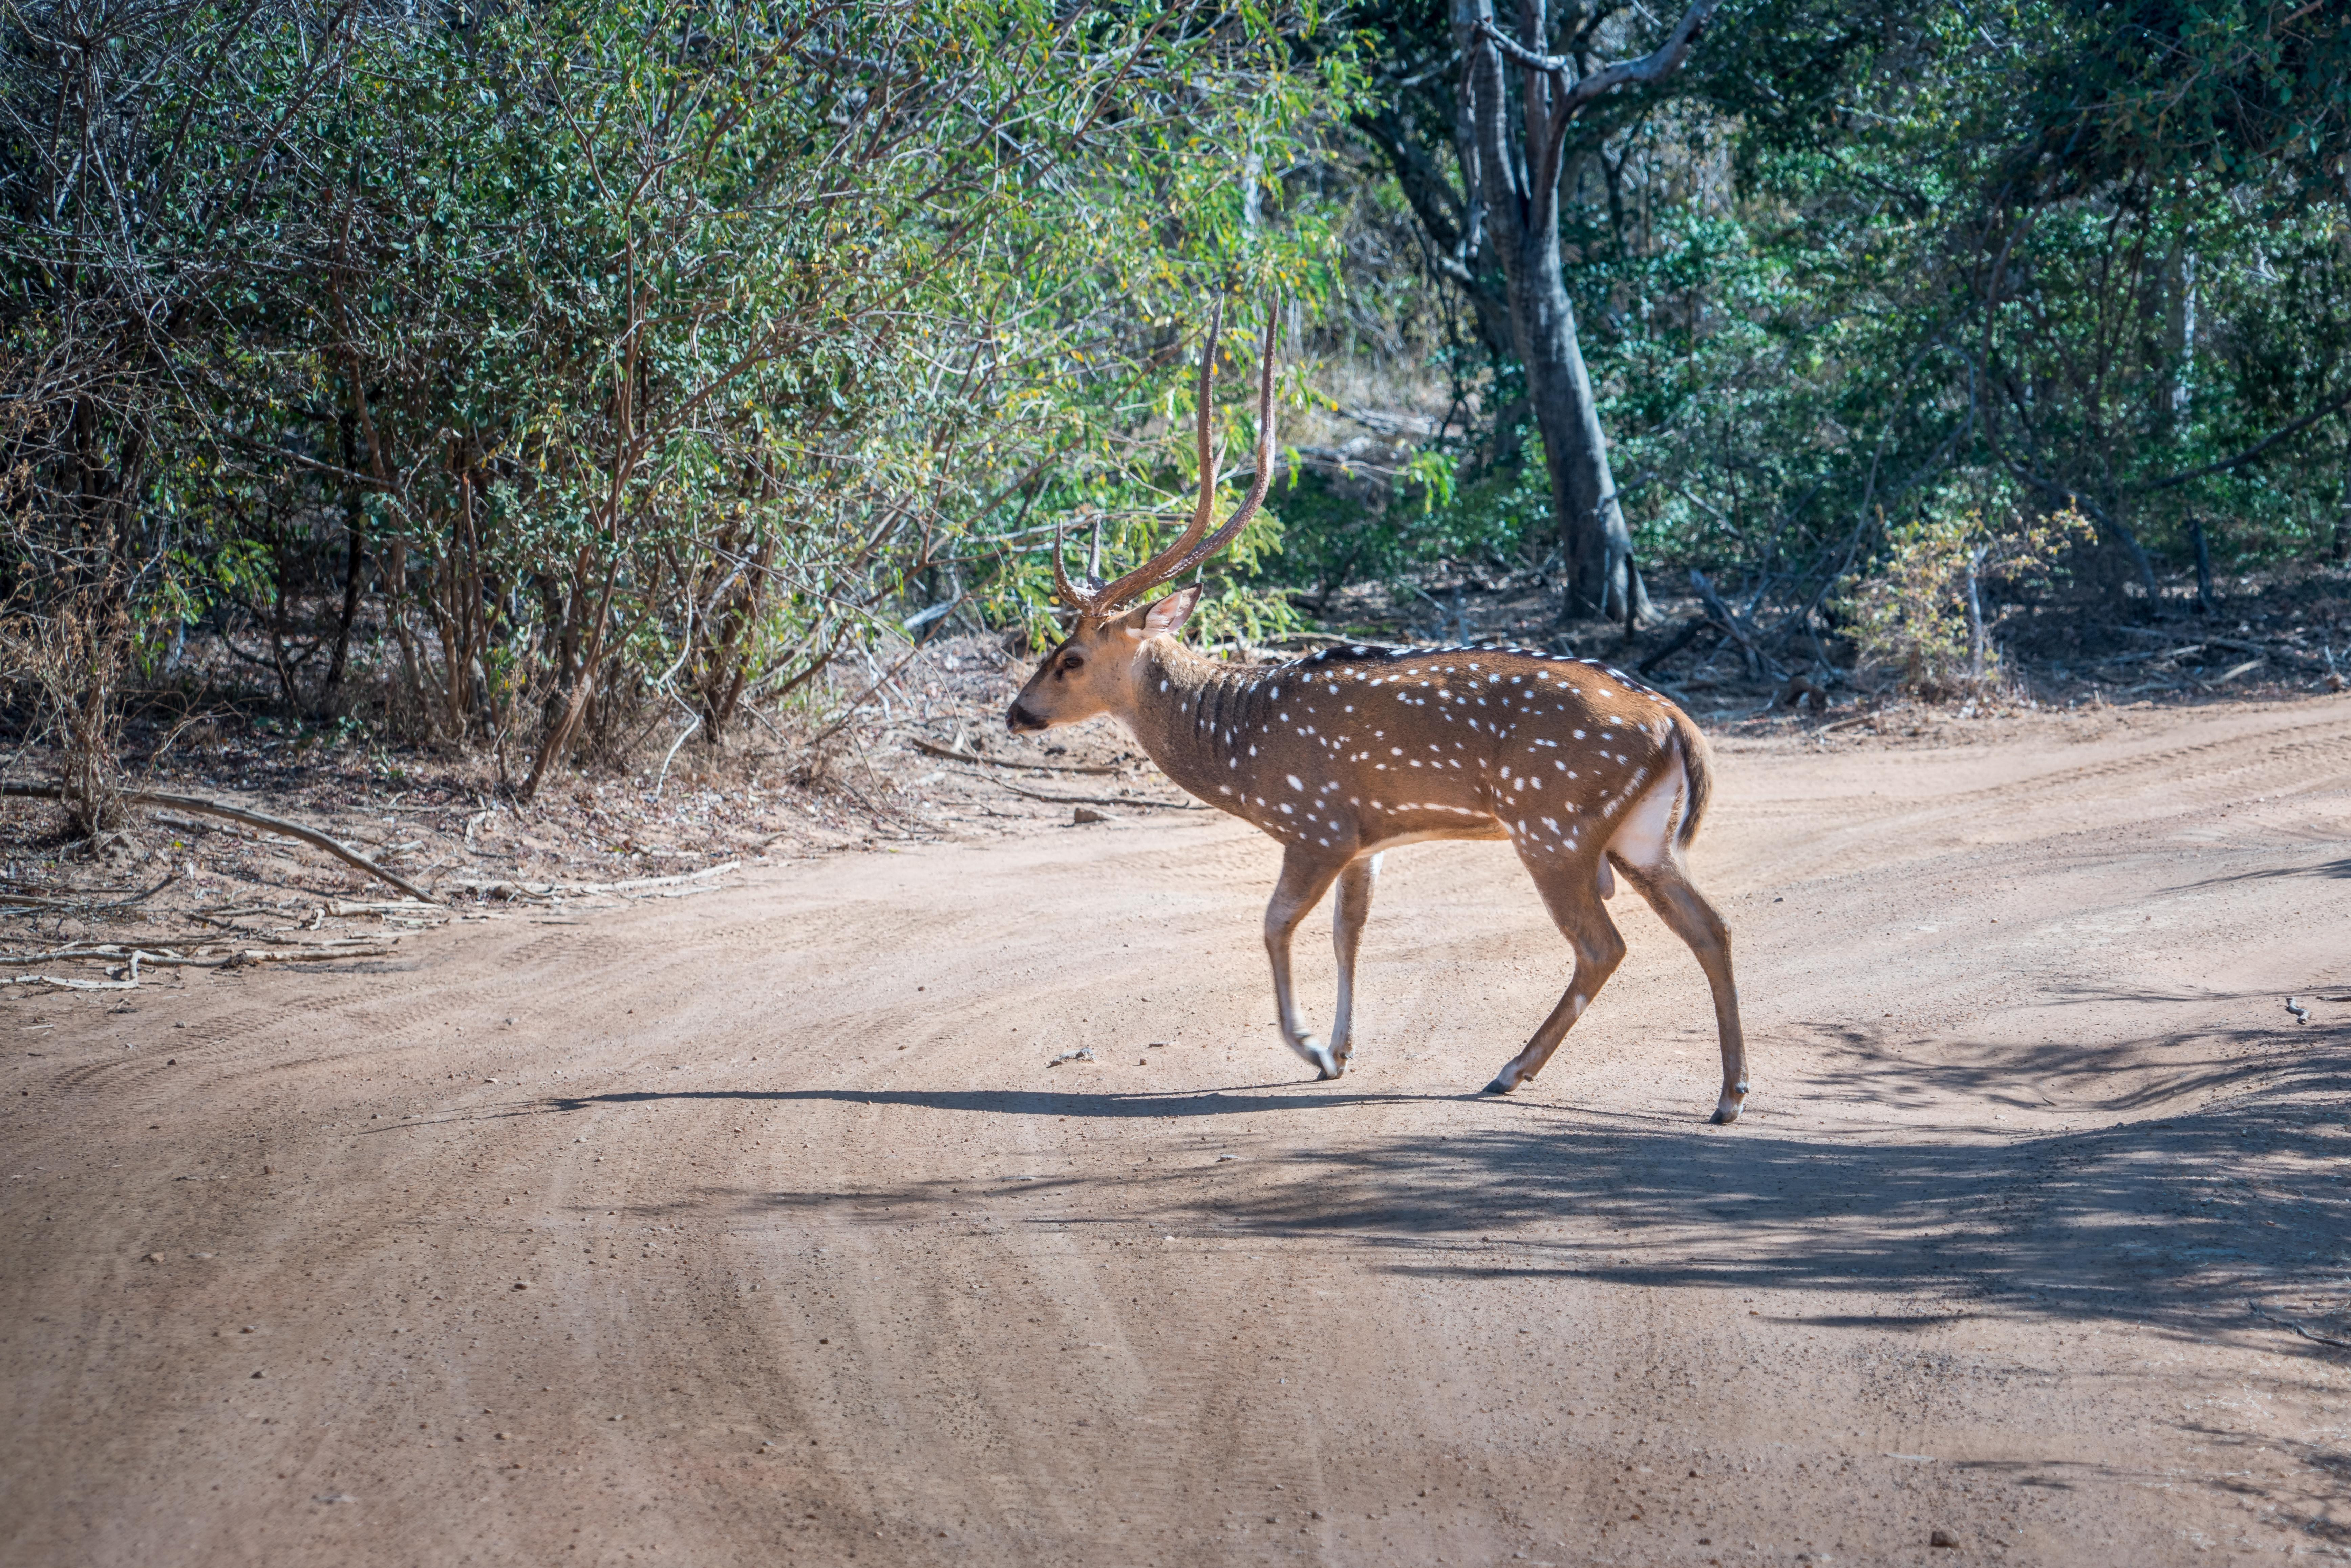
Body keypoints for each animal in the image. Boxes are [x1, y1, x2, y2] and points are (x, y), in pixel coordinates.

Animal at [1005, 299, 1750, 1124]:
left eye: (1070, 657)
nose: (1016, 711)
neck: (1240, 743)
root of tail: (1676, 723)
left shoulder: (1315, 823)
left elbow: (1277, 923)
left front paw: (1311, 1048)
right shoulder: (1368, 839)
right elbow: (1348, 932)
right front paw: (1341, 1049)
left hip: (1554, 826)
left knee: (1603, 944)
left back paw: (1510, 1069)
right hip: (1642, 835)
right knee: (1711, 926)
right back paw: (1727, 1095)